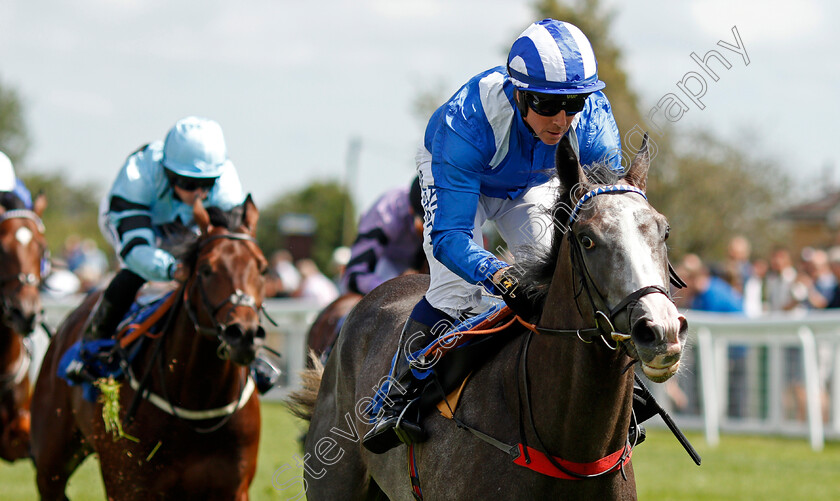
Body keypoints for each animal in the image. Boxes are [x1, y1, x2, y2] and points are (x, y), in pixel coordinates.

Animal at [31, 195, 268, 500]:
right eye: (206, 270)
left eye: (263, 268)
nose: (244, 335)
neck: (196, 404)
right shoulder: (128, 486)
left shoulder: (234, 487)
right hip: (51, 463)